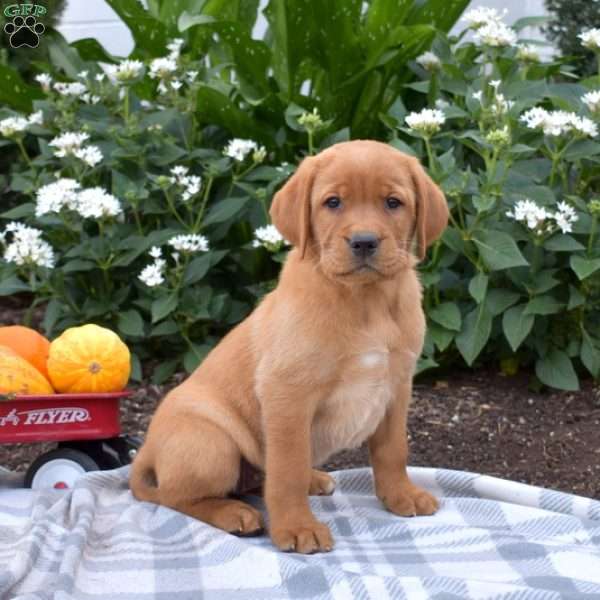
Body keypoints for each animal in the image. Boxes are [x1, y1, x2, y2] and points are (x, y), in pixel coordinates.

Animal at [132, 139, 450, 552]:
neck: (366, 302)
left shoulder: (397, 388)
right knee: (177, 496)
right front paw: (297, 527)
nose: (364, 241)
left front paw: (401, 495)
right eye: (333, 202)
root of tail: (146, 452)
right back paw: (235, 514)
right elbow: (287, 470)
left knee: (256, 480)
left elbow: (393, 451)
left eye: (393, 203)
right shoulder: (287, 394)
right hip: (211, 442)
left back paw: (311, 480)